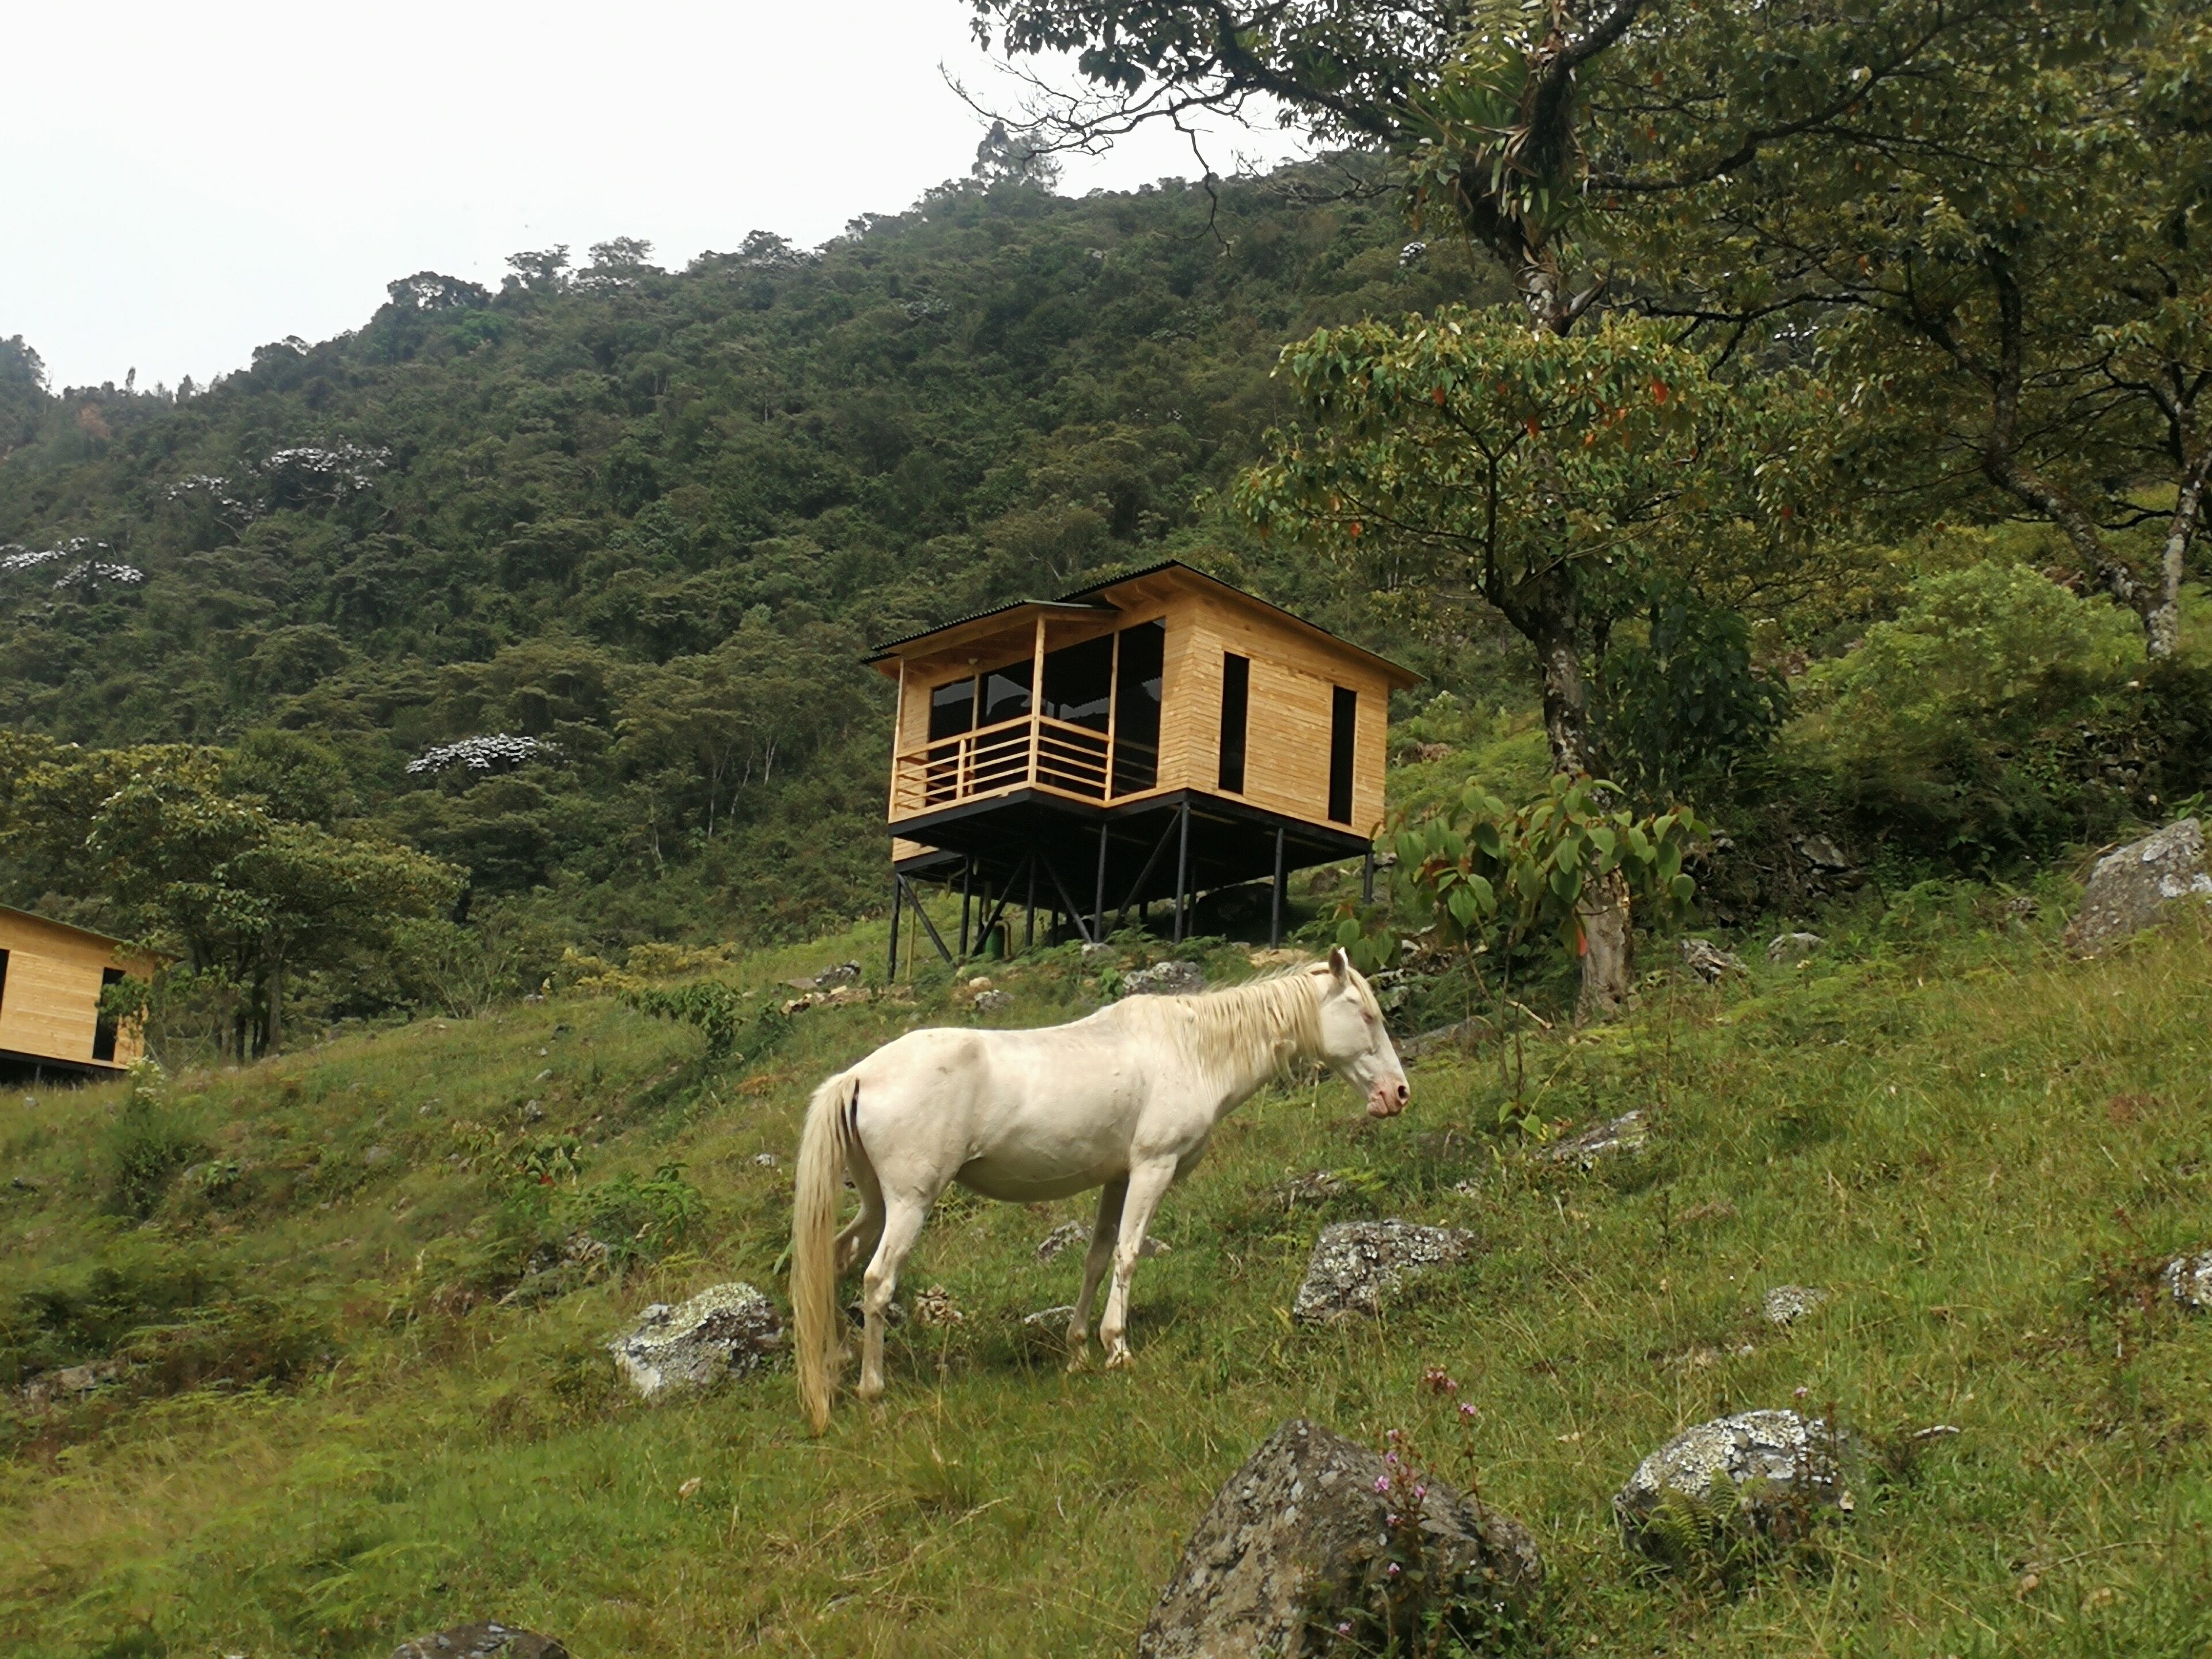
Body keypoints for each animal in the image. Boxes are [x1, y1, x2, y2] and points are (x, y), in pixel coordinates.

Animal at [790, 946, 1409, 1433]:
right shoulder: (1153, 1168)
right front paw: (1117, 1347)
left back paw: (833, 1368)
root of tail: (859, 1075)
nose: (1398, 1094)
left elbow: (1095, 1257)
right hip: (910, 1204)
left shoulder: (1118, 1178)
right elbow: (1129, 1254)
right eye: (1367, 1015)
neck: (1192, 1049)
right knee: (876, 1282)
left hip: (876, 1203)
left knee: (834, 1261)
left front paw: (1078, 1350)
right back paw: (873, 1394)